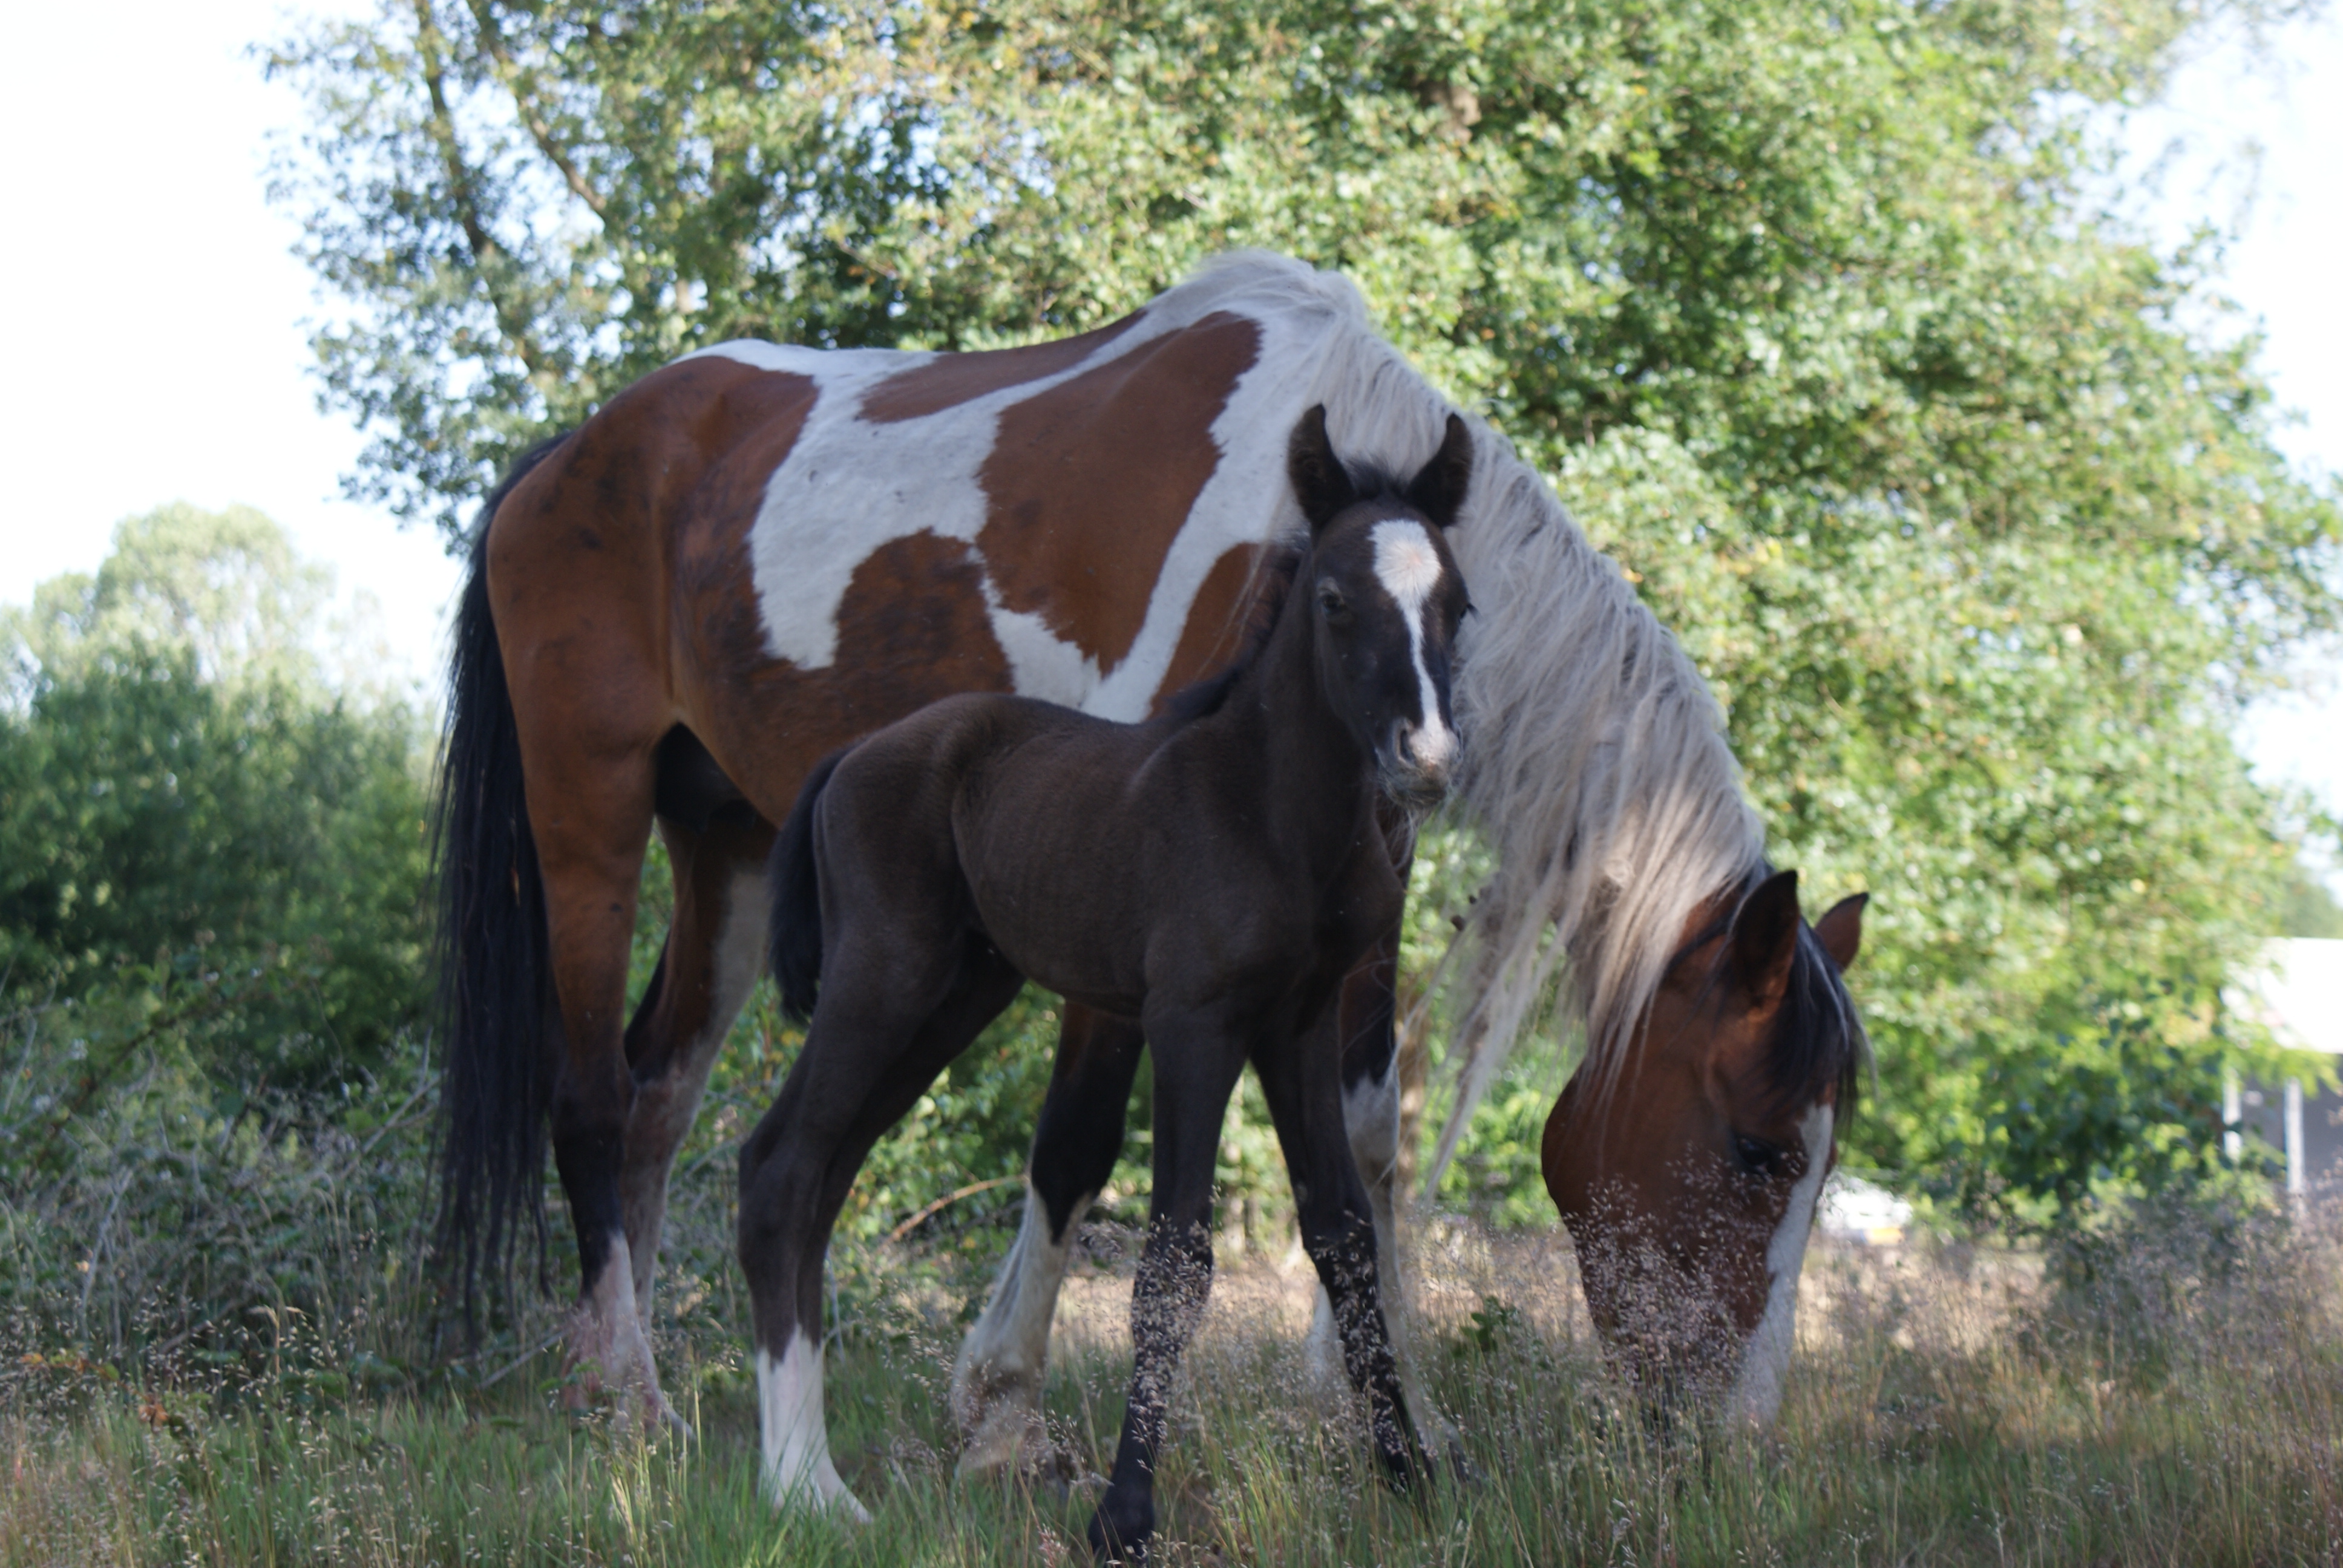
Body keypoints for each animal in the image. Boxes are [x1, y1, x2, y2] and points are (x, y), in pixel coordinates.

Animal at [436, 247, 1865, 1481]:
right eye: (1757, 1152)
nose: (1742, 1439)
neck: (1293, 504)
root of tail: (566, 455)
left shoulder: (1349, 895)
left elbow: (1364, 1144)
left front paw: (1394, 1412)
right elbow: (1074, 1141)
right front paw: (1004, 1409)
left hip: (726, 846)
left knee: (660, 1096)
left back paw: (643, 1379)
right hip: (589, 808)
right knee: (592, 1096)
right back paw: (624, 1392)